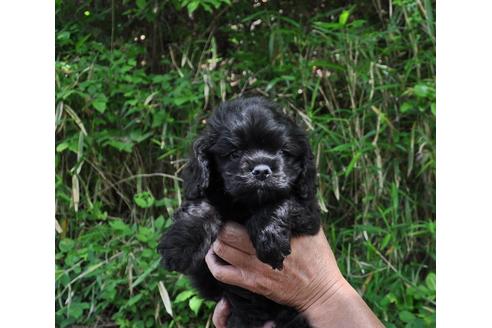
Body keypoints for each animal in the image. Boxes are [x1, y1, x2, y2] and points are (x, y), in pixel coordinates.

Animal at [158, 97, 320, 328]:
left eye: (283, 151)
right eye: (234, 153)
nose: (261, 171)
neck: (246, 204)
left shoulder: (310, 213)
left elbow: (281, 201)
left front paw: (269, 239)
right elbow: (201, 207)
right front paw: (180, 247)